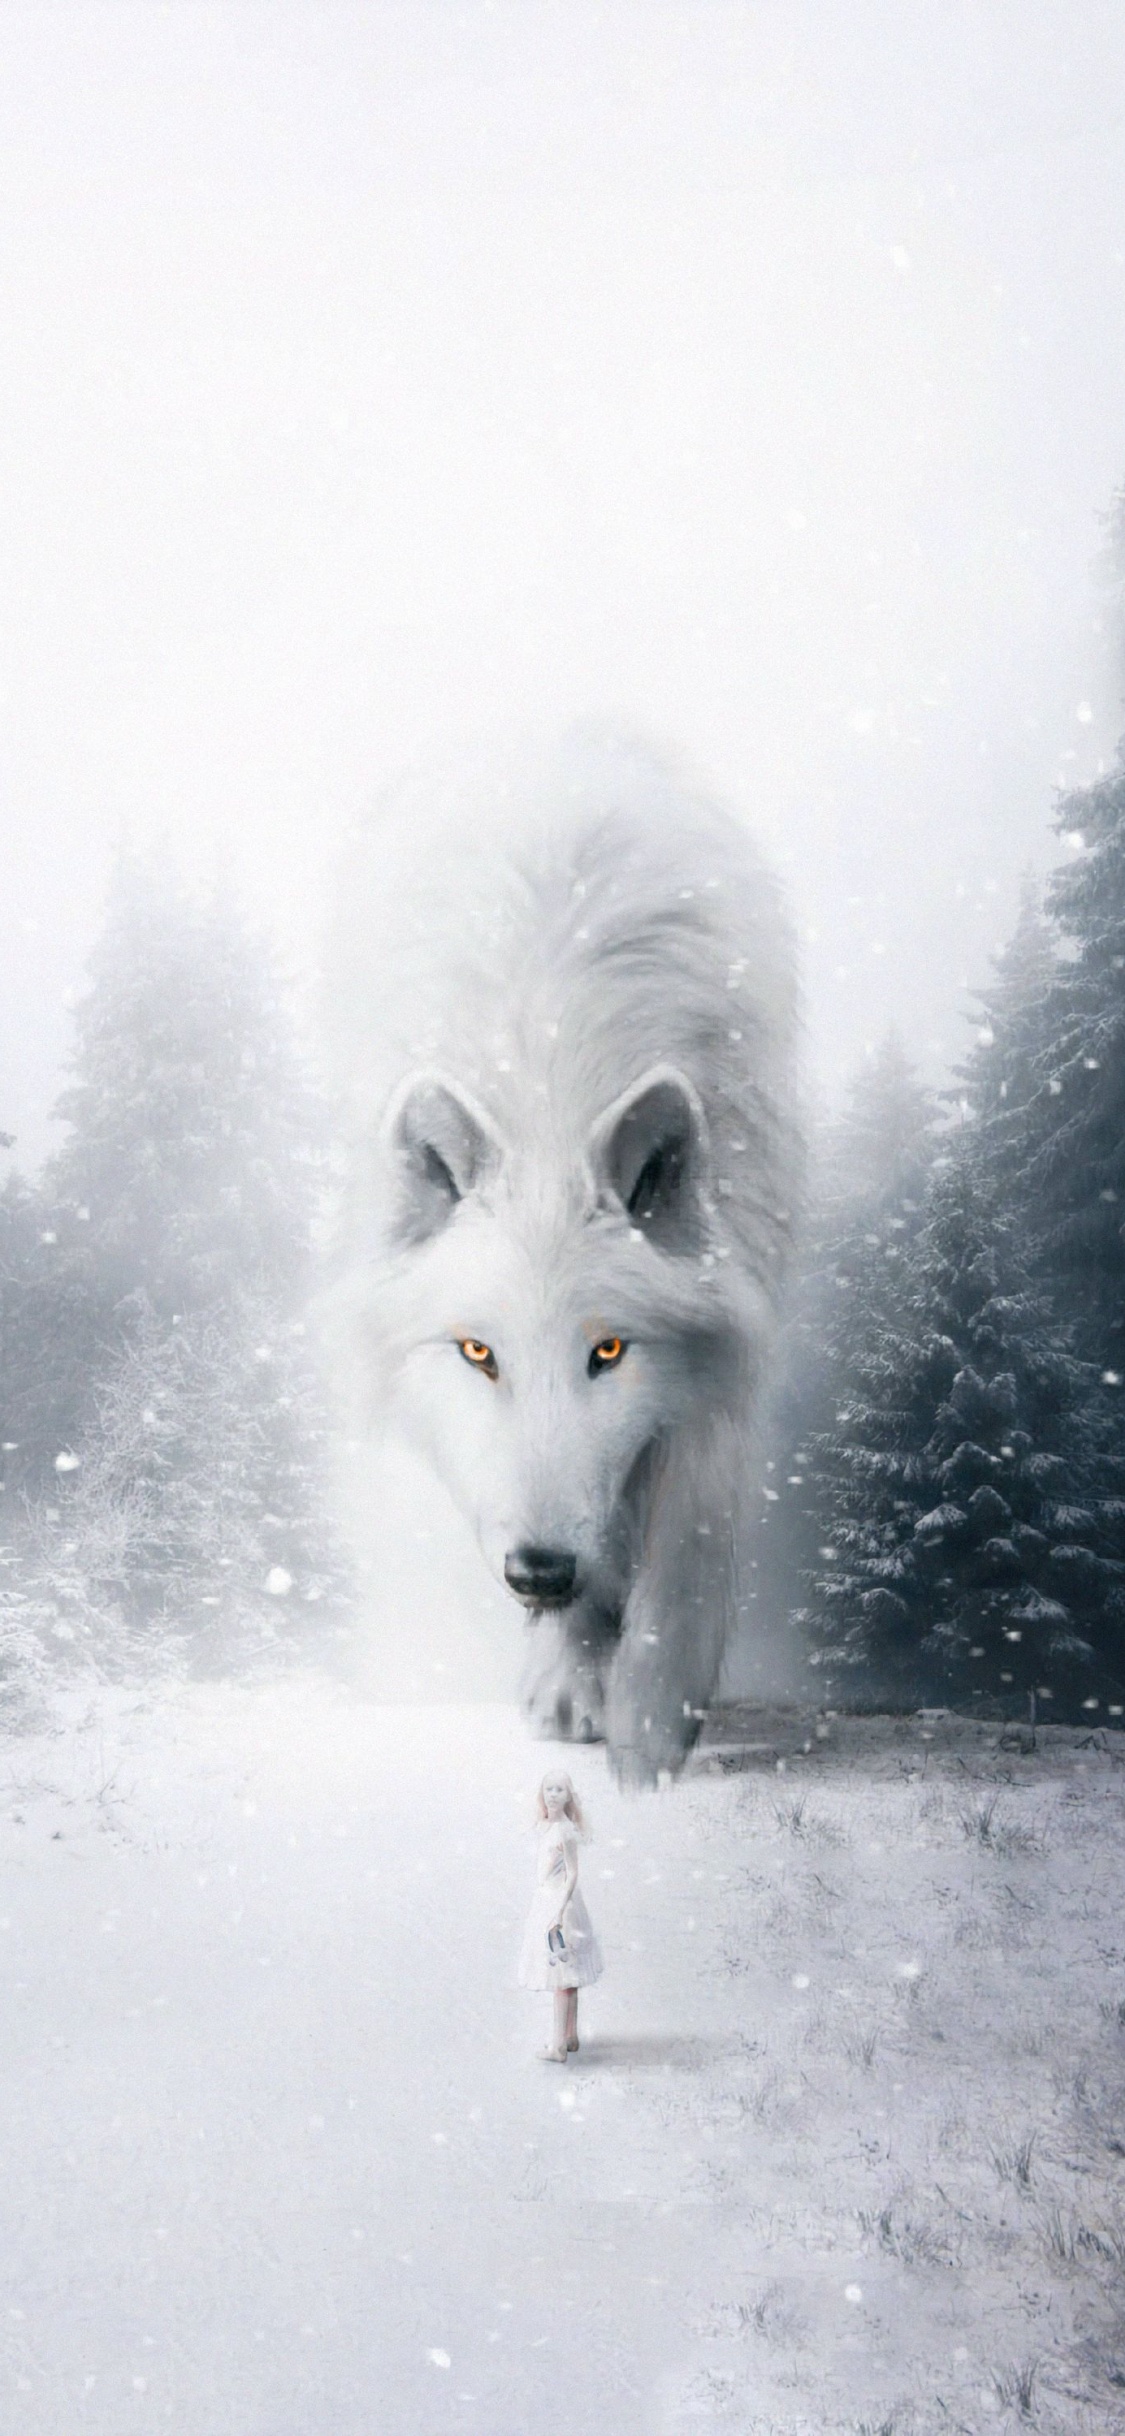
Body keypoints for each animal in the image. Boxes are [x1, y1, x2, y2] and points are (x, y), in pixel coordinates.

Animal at [326, 730, 801, 1784]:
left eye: (608, 1351)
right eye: (478, 1353)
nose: (537, 1573)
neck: (549, 1081)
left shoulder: (725, 1338)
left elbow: (687, 1544)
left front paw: (652, 1732)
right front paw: (575, 1679)